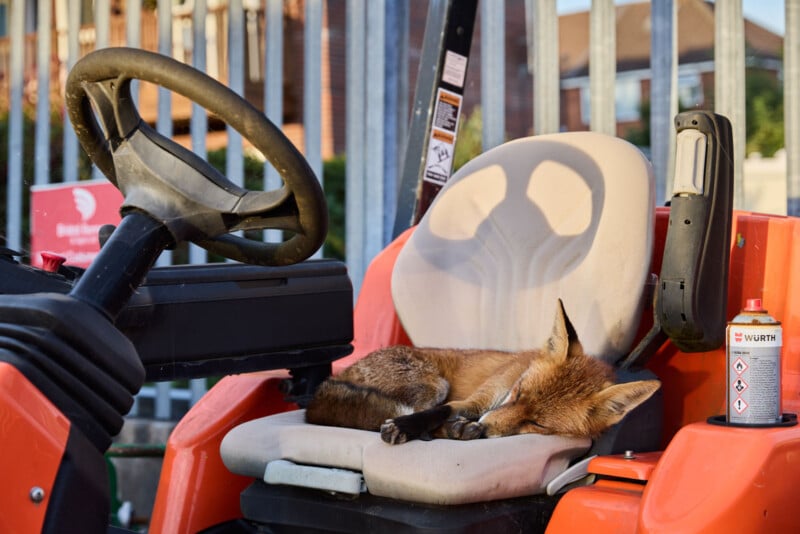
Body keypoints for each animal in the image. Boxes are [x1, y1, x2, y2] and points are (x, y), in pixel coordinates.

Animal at [305, 300, 661, 444]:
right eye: (518, 392)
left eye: (537, 424)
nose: (486, 427)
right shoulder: (477, 399)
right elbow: (442, 411)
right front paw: (408, 426)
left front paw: (464, 428)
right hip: (433, 384)